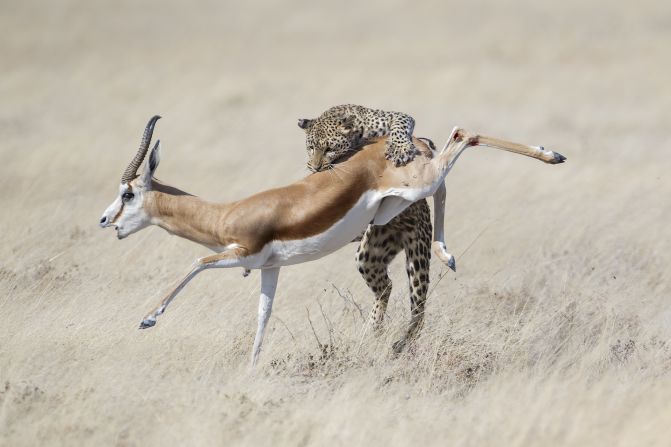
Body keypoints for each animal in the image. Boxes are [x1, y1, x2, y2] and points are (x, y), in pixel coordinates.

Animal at [300, 105, 440, 354]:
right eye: (311, 147)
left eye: (329, 148)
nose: (315, 167)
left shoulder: (395, 118)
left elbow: (399, 127)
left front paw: (400, 149)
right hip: (371, 251)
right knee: (386, 287)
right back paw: (374, 327)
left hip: (417, 256)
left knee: (418, 308)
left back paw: (400, 342)